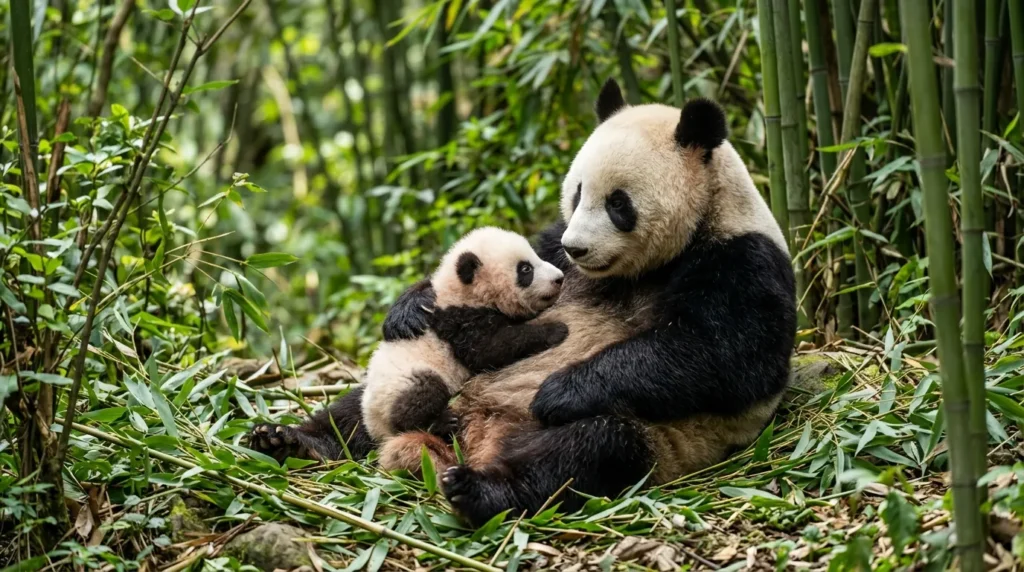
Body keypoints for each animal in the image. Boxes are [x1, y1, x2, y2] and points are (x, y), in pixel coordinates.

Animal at [248, 227, 569, 463]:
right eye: (525, 269)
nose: (559, 278)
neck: (457, 292)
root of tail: (375, 428)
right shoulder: (456, 320)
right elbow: (490, 348)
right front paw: (555, 330)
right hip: (406, 385)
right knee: (414, 399)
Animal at [378, 79, 797, 526]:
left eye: (618, 203)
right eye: (577, 194)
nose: (576, 248)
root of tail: (475, 435)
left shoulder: (743, 258)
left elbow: (725, 357)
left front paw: (557, 391)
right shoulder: (552, 248)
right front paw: (410, 308)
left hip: (656, 439)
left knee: (585, 450)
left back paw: (477, 489)